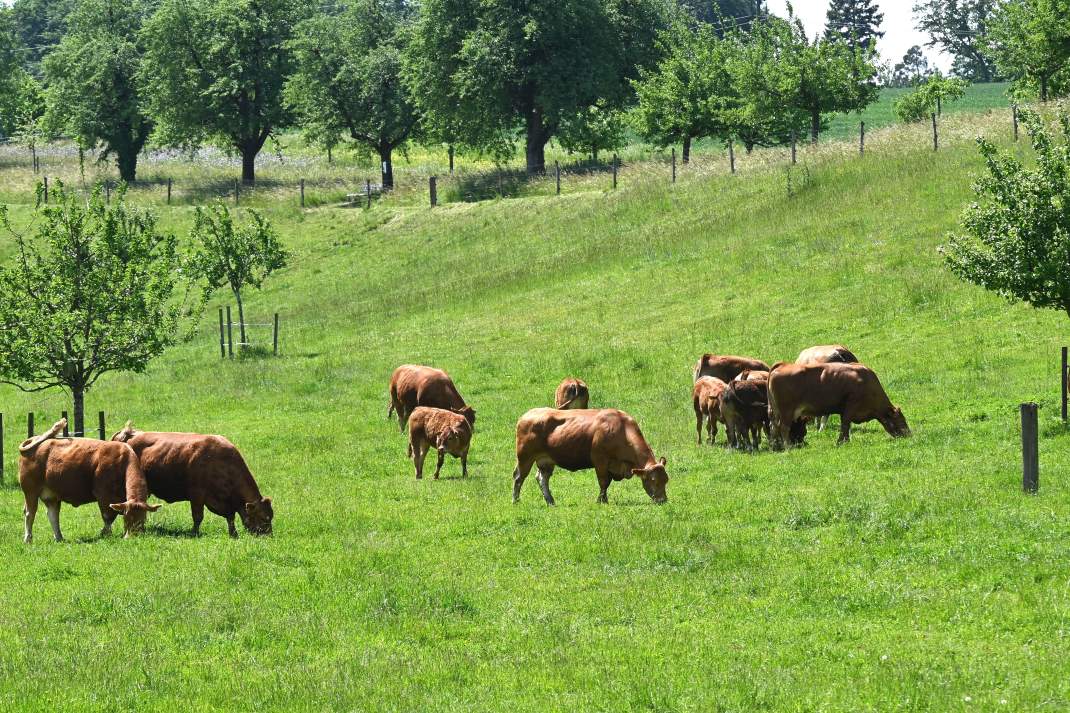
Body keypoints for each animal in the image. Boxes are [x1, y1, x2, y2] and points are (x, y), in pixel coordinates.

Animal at [19, 419, 159, 543]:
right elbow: (108, 517)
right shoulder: (103, 495)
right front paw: (105, 534)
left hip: (52, 495)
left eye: (143, 518)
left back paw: (59, 538)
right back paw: (28, 539)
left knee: (53, 514)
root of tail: (34, 439)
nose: (133, 536)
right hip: (30, 491)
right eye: (127, 517)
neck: (122, 460)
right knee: (30, 513)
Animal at [111, 423, 273, 537]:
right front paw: (194, 533)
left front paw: (233, 534)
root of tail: (129, 433)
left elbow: (230, 517)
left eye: (271, 516)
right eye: (264, 518)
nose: (269, 536)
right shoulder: (197, 495)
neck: (221, 461)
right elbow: (198, 517)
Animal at [512, 408, 668, 505]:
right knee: (518, 477)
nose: (663, 500)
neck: (621, 429)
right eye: (653, 480)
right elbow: (603, 482)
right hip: (524, 457)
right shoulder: (600, 461)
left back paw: (550, 501)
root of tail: (527, 415)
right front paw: (602, 501)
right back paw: (516, 500)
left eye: (666, 480)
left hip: (546, 460)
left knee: (542, 479)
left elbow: (607, 483)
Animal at [767, 362, 911, 449]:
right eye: (901, 420)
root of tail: (782, 365)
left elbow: (845, 426)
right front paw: (843, 442)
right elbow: (845, 425)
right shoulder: (850, 407)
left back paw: (775, 447)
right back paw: (788, 447)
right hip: (787, 411)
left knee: (773, 428)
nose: (909, 435)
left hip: (776, 413)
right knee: (784, 428)